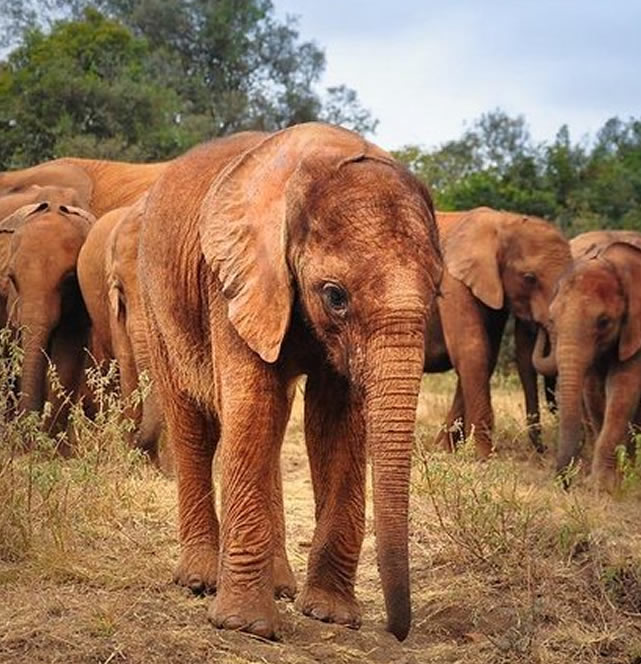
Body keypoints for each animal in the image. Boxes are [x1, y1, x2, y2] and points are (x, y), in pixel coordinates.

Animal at [137, 124, 442, 641]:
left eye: (438, 293)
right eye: (335, 296)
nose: (397, 631)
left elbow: (335, 422)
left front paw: (330, 615)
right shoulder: (234, 281)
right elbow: (253, 406)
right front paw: (246, 627)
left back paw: (278, 585)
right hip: (156, 303)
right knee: (197, 423)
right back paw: (200, 580)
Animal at [425, 207, 571, 456]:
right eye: (529, 278)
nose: (543, 450)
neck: (504, 222)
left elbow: (488, 355)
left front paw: (444, 450)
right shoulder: (453, 280)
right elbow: (472, 349)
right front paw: (485, 455)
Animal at [533, 231, 641, 488]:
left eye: (604, 322)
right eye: (552, 320)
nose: (564, 482)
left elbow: (624, 388)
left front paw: (603, 486)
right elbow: (593, 391)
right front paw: (603, 482)